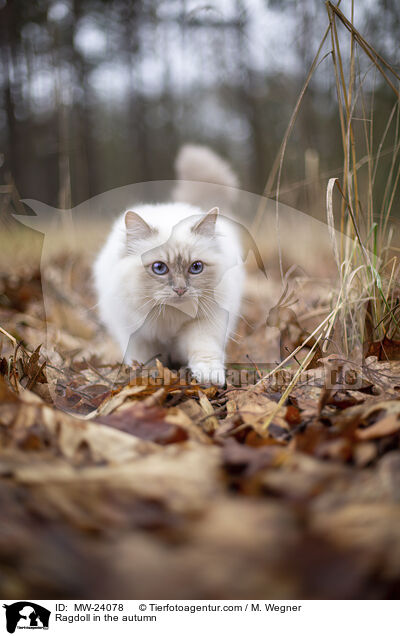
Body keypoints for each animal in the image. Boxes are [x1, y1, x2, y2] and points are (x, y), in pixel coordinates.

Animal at [93, 145, 244, 382]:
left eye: (196, 267)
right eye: (159, 268)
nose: (180, 289)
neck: (169, 318)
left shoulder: (204, 324)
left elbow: (204, 351)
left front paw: (210, 377)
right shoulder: (138, 336)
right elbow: (144, 362)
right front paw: (149, 378)